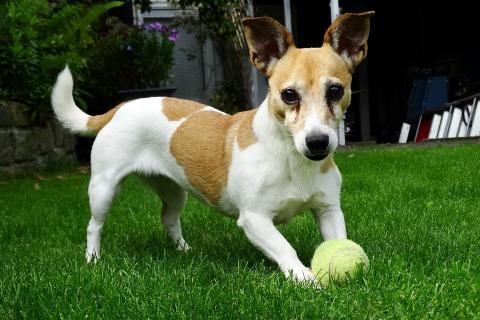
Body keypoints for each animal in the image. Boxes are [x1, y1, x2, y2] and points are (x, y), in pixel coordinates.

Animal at [52, 12, 376, 282]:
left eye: (335, 90)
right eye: (288, 95)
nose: (318, 141)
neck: (292, 159)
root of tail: (120, 107)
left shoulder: (328, 210)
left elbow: (339, 239)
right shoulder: (255, 219)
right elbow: (285, 248)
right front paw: (305, 278)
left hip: (174, 190)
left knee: (169, 218)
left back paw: (184, 250)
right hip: (103, 189)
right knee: (94, 226)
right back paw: (93, 259)